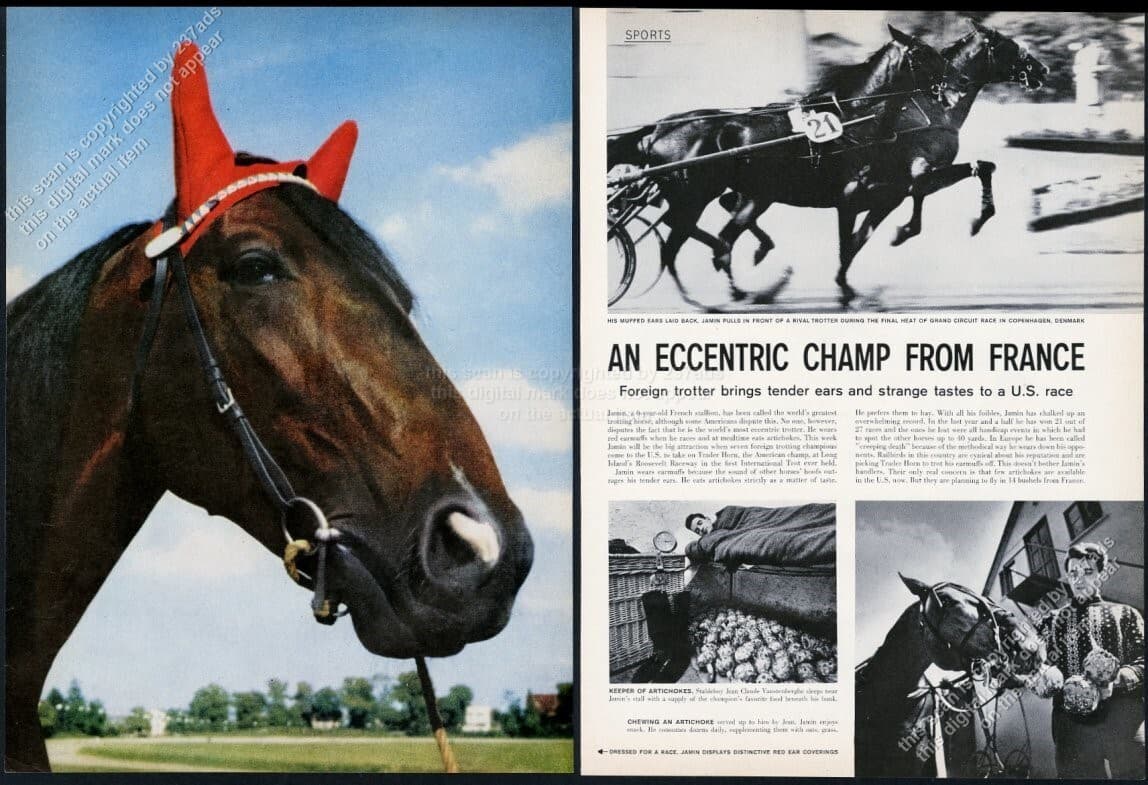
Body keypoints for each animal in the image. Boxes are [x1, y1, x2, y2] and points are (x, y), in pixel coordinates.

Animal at [634, 26, 964, 303]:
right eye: (922, 52)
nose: (959, 81)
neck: (856, 123)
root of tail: (659, 131)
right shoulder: (849, 199)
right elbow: (847, 246)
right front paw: (846, 291)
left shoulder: (882, 193)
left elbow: (860, 239)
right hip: (697, 196)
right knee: (679, 243)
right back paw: (709, 295)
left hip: (734, 195)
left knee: (706, 235)